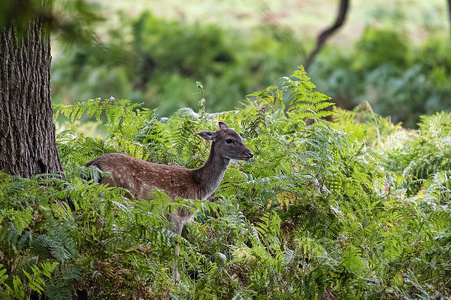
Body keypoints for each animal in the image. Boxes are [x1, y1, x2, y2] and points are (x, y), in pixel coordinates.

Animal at [84, 120, 254, 280]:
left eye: (240, 137)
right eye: (229, 140)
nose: (250, 153)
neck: (199, 185)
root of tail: (91, 165)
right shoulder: (177, 214)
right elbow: (176, 249)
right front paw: (176, 282)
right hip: (115, 196)